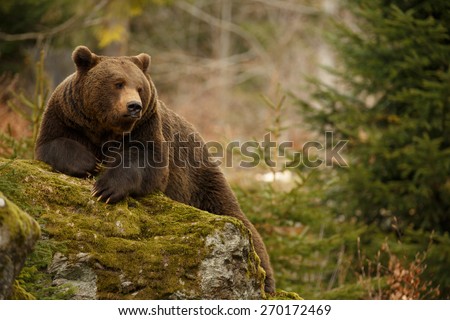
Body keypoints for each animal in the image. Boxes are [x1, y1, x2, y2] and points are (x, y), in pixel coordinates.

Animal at [34, 45, 274, 292]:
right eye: (118, 83)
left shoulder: (146, 126)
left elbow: (147, 163)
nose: (134, 106)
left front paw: (106, 188)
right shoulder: (66, 116)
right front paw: (88, 164)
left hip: (200, 180)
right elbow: (54, 143)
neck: (106, 129)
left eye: (139, 87)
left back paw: (266, 282)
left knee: (243, 226)